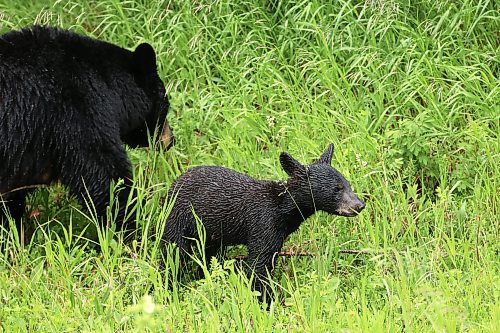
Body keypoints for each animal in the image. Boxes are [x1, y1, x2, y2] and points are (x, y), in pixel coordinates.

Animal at [162, 144, 366, 302]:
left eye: (348, 184)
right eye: (336, 189)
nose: (359, 205)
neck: (282, 210)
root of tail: (173, 184)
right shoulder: (263, 224)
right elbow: (258, 266)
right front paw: (268, 303)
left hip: (211, 234)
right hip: (177, 219)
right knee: (172, 253)